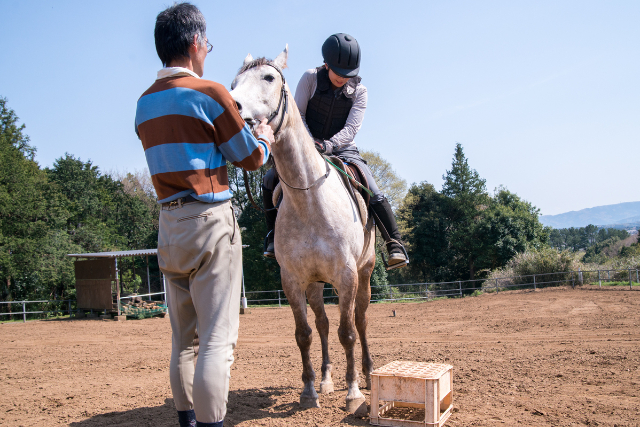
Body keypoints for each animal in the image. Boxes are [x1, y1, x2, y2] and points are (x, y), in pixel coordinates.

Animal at [230, 46, 376, 413]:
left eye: (269, 77)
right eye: (234, 82)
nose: (232, 106)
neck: (310, 199)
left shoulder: (347, 276)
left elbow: (347, 332)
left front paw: (353, 392)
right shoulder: (294, 281)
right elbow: (304, 333)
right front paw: (310, 390)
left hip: (365, 273)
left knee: (361, 321)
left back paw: (368, 374)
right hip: (314, 284)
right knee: (322, 324)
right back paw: (325, 380)